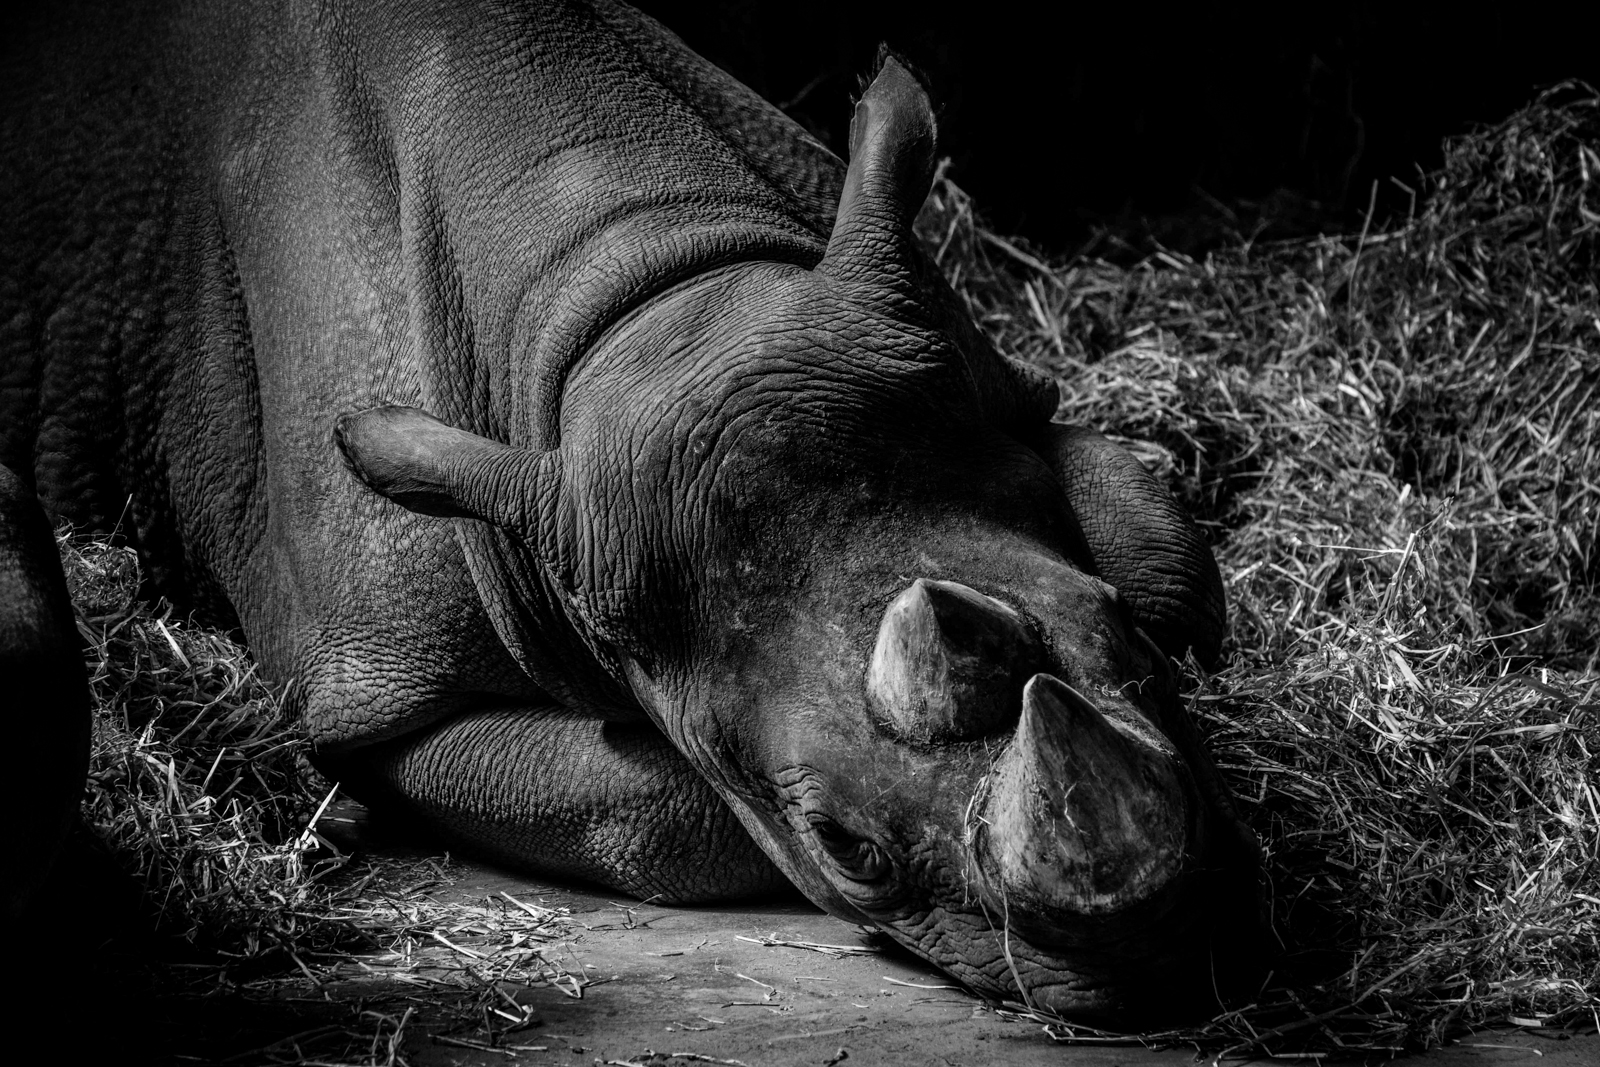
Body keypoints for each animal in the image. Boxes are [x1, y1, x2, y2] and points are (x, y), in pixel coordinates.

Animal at [1, 0, 1260, 1021]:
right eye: (842, 847)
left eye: (1125, 642)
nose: (1157, 959)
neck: (650, 298)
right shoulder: (380, 683)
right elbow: (665, 811)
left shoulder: (999, 392)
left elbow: (1155, 541)